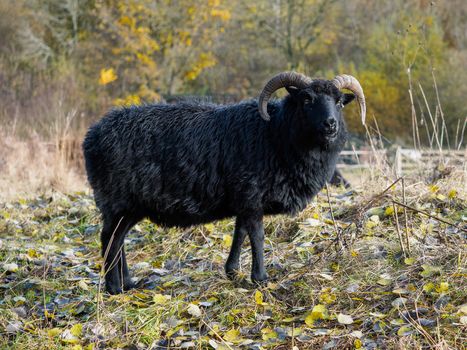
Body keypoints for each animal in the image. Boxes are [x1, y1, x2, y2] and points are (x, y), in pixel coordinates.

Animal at [85, 71, 370, 292]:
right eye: (307, 99)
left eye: (339, 102)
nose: (330, 124)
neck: (275, 134)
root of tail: (91, 136)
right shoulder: (252, 196)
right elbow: (257, 236)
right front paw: (260, 278)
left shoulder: (243, 200)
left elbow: (239, 232)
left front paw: (232, 271)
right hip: (119, 199)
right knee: (110, 239)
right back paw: (114, 288)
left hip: (129, 206)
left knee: (118, 239)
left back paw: (128, 282)